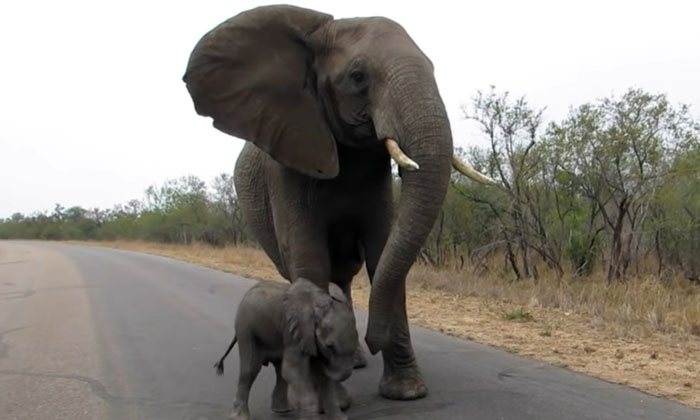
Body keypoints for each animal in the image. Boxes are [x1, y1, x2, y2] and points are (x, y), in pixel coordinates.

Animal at [183, 5, 494, 400]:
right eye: (358, 77)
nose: (374, 340)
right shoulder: (286, 163)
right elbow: (309, 256)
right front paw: (327, 395)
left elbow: (382, 253)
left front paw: (406, 392)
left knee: (343, 276)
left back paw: (355, 360)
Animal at [212, 278, 356, 420]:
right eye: (329, 346)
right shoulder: (294, 333)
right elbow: (293, 370)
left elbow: (321, 376)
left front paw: (340, 418)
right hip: (246, 328)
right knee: (251, 369)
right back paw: (241, 416)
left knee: (279, 371)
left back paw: (282, 411)